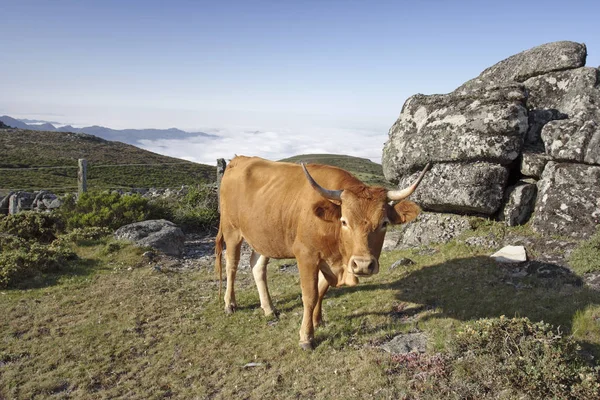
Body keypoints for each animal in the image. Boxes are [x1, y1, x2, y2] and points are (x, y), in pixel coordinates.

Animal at [213, 155, 428, 348]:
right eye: (344, 221)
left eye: (384, 223)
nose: (363, 265)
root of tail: (239, 159)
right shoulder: (306, 255)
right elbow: (310, 295)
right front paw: (306, 337)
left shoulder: (329, 261)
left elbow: (322, 290)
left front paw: (317, 321)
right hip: (232, 231)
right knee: (232, 265)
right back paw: (230, 304)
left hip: (264, 237)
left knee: (257, 267)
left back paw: (269, 308)